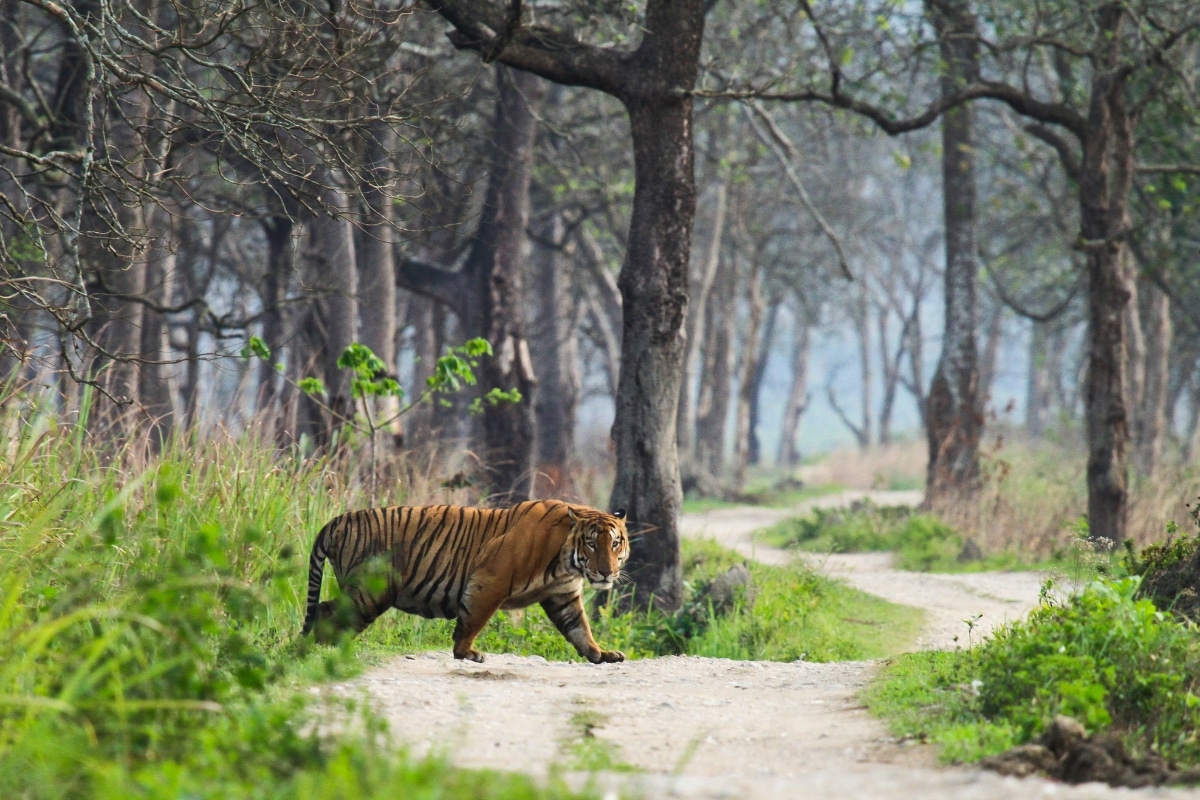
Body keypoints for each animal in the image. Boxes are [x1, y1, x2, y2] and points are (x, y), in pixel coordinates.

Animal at [301, 500, 630, 664]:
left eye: (615, 544)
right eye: (592, 544)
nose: (606, 572)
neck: (566, 563)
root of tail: (337, 522)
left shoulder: (564, 596)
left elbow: (580, 629)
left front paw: (600, 654)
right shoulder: (491, 580)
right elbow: (473, 620)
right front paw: (466, 653)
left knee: (327, 610)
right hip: (370, 592)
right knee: (327, 611)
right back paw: (322, 650)